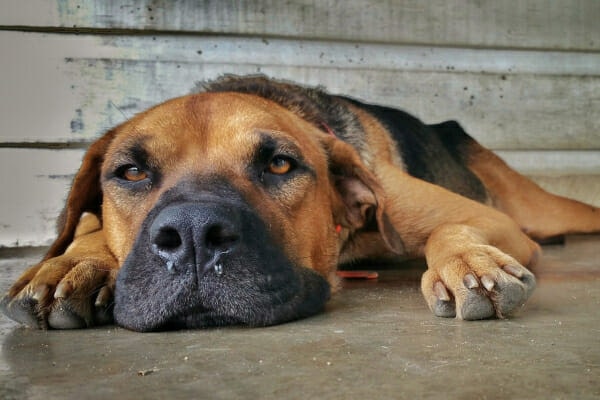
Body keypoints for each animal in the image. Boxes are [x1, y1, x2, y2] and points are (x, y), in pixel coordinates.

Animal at [3, 76, 600, 332]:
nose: (193, 236)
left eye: (280, 165)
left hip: (540, 209)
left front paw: (469, 264)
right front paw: (73, 262)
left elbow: (447, 231)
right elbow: (86, 232)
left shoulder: (492, 219)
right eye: (130, 172)